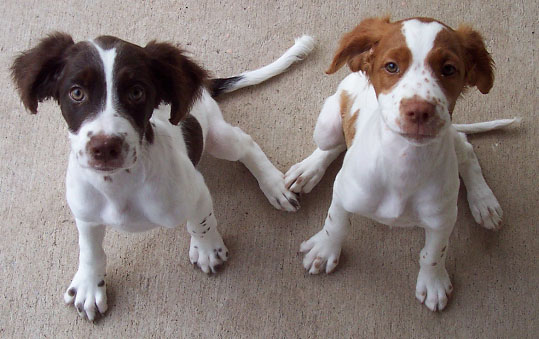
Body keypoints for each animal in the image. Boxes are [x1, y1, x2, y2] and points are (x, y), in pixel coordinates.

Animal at [11, 32, 316, 322]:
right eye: (76, 93)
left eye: (136, 92)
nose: (105, 147)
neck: (120, 185)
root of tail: (204, 89)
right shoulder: (85, 214)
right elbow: (89, 250)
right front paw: (88, 285)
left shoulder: (196, 192)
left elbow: (201, 222)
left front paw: (207, 249)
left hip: (218, 139)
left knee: (245, 143)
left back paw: (274, 185)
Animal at [286, 17, 520, 312]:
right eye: (391, 66)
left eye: (449, 69)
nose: (420, 110)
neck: (404, 164)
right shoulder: (342, 194)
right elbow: (335, 224)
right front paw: (325, 250)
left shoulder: (443, 219)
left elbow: (434, 253)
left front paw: (433, 282)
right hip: (327, 124)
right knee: (333, 143)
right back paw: (308, 171)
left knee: (465, 147)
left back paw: (484, 202)